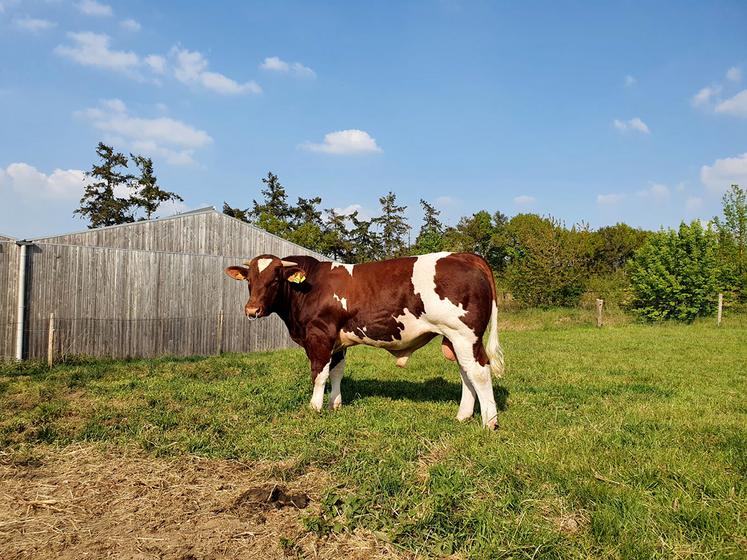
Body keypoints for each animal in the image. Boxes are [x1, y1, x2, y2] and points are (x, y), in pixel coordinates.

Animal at [225, 253, 506, 428]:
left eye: (275, 279)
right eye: (249, 280)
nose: (252, 310)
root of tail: (464, 255)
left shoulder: (319, 335)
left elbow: (319, 374)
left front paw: (314, 408)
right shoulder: (337, 342)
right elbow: (336, 373)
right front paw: (334, 404)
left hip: (464, 335)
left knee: (479, 372)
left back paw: (489, 422)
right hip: (456, 339)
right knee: (466, 373)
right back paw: (463, 416)